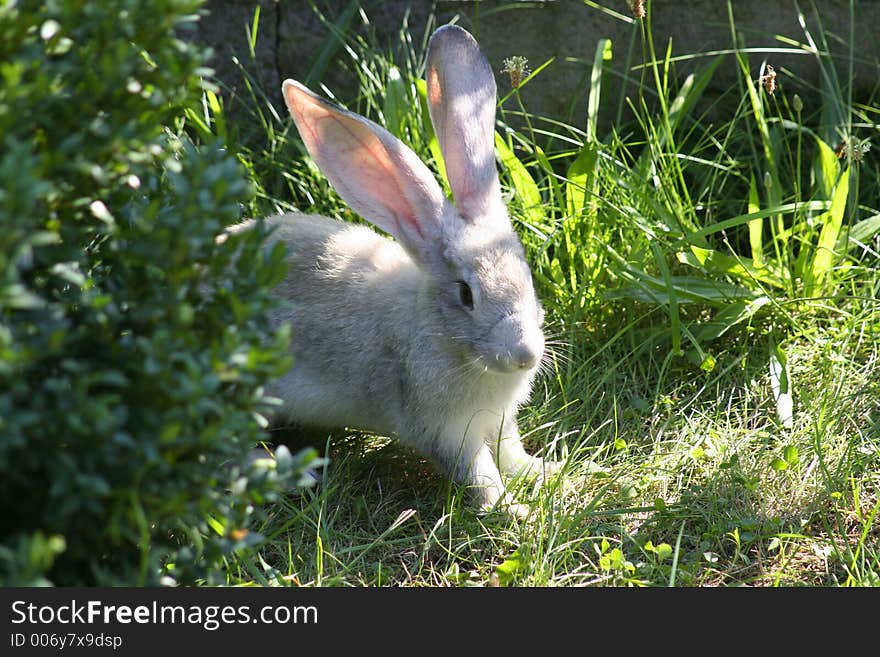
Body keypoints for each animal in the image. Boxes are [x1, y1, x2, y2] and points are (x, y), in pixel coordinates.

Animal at [239, 24, 556, 512]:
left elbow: (510, 450)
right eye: (465, 294)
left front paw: (544, 472)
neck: (442, 335)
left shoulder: (499, 419)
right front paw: (510, 509)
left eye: (527, 274)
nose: (524, 354)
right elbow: (479, 472)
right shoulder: (446, 429)